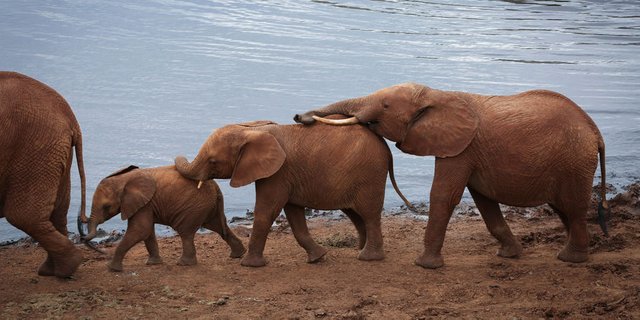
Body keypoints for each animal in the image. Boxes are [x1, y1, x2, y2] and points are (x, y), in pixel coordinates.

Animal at [0, 71, 87, 276]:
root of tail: (71, 119)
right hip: (52, 152)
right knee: (58, 212)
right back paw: (55, 270)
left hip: (34, 150)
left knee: (23, 216)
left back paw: (63, 270)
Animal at [81, 165, 246, 272]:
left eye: (106, 206)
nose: (103, 253)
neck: (124, 179)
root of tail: (216, 188)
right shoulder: (146, 204)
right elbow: (147, 232)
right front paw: (153, 263)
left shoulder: (144, 204)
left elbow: (140, 230)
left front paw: (111, 268)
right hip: (208, 207)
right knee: (218, 226)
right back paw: (238, 254)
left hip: (193, 207)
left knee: (186, 233)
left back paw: (184, 264)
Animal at [174, 119, 416, 266]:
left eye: (213, 161)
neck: (251, 130)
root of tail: (386, 148)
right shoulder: (287, 176)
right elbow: (294, 214)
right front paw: (318, 258)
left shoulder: (278, 173)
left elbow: (267, 211)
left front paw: (249, 265)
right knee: (355, 214)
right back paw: (361, 248)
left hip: (370, 176)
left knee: (369, 214)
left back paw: (368, 257)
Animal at [292, 82, 608, 268]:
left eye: (385, 106)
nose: (298, 117)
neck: (438, 95)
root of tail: (596, 132)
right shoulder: (472, 152)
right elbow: (484, 201)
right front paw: (509, 255)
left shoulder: (460, 148)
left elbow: (444, 195)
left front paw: (424, 265)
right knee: (564, 208)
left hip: (574, 162)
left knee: (573, 207)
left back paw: (571, 259)